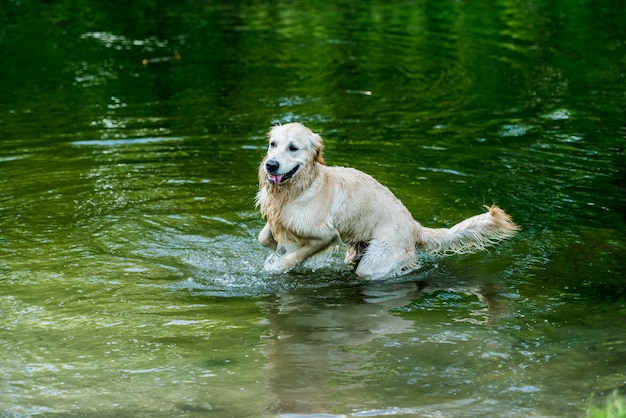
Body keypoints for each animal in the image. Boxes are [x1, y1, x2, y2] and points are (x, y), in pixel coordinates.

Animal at [254, 124, 516, 280]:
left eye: (293, 148)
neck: (299, 188)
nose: (270, 165)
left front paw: (278, 265)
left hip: (376, 260)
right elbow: (263, 236)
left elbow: (295, 256)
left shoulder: (325, 236)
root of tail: (414, 226)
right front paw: (276, 248)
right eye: (273, 144)